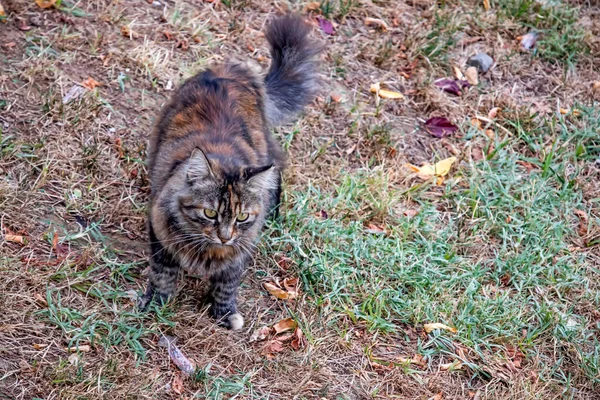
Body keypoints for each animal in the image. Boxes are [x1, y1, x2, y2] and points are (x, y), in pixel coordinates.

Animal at [138, 14, 322, 330]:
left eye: (242, 217)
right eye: (210, 213)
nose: (225, 237)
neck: (206, 250)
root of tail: (231, 69)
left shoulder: (240, 251)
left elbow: (227, 283)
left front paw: (224, 313)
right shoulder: (160, 233)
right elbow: (163, 275)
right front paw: (156, 304)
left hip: (266, 149)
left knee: (278, 171)